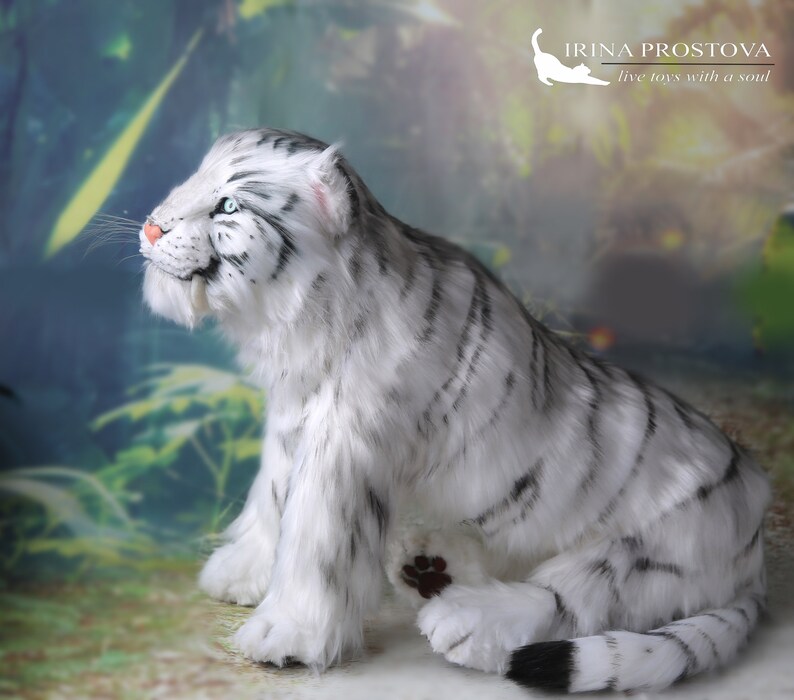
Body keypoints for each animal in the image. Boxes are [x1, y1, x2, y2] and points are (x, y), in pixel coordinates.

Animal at [139, 127, 770, 693]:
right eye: (194, 180)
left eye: (228, 205)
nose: (150, 224)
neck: (302, 317)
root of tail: (755, 552)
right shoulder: (290, 420)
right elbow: (270, 500)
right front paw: (238, 573)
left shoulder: (341, 443)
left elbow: (314, 537)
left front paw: (284, 634)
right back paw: (427, 567)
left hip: (640, 554)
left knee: (565, 599)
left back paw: (463, 618)